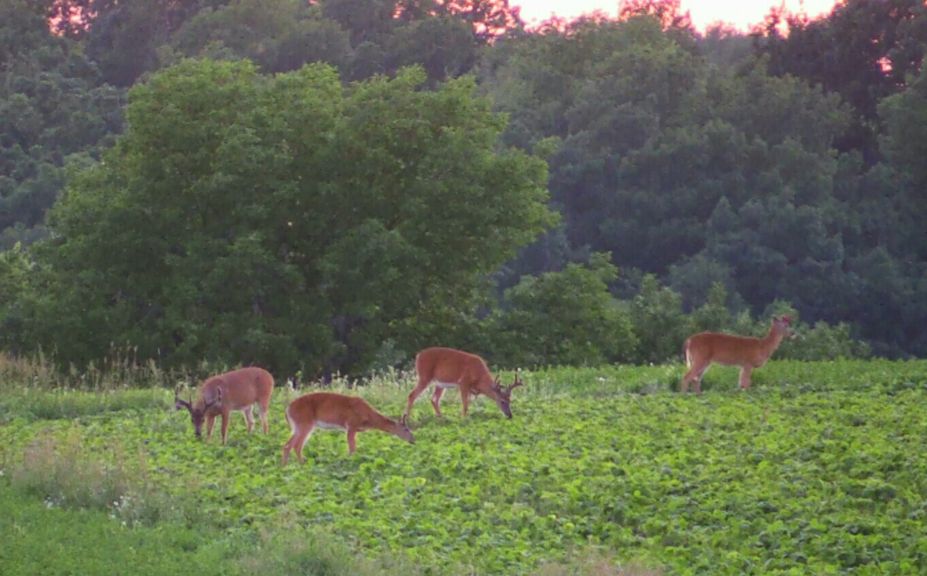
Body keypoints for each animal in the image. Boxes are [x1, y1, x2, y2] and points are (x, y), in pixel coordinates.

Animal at [280, 392, 416, 464]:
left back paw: (285, 467)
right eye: (406, 429)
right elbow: (352, 448)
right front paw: (350, 461)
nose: (413, 440)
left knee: (287, 445)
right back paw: (301, 464)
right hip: (305, 423)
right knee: (296, 445)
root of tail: (287, 409)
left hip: (297, 426)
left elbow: (353, 447)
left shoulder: (354, 429)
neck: (368, 417)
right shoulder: (351, 425)